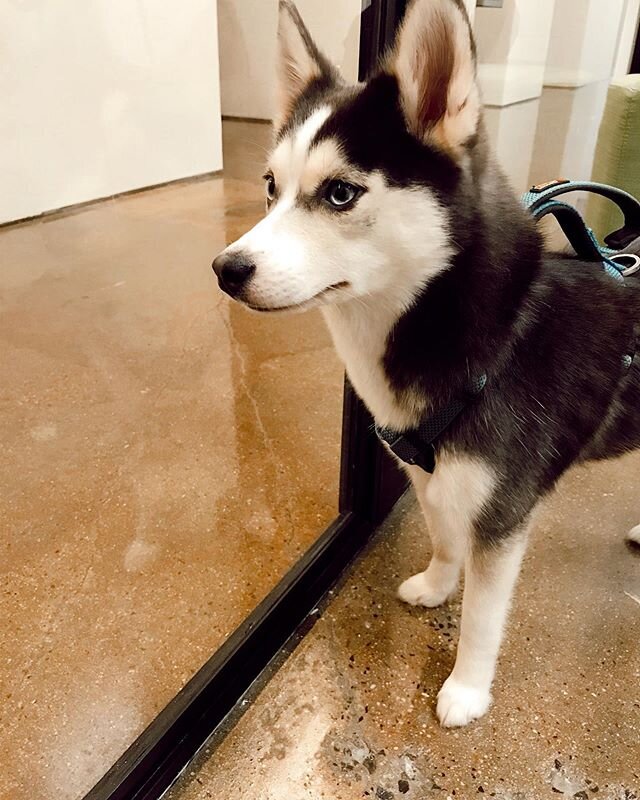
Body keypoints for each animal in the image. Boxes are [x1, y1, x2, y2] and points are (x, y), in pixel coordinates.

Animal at [214, 0, 640, 724]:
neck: (481, 339)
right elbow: (444, 539)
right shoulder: (426, 473)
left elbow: (483, 618)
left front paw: (467, 688)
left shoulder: (503, 514)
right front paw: (438, 584)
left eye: (339, 194)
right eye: (271, 186)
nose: (225, 268)